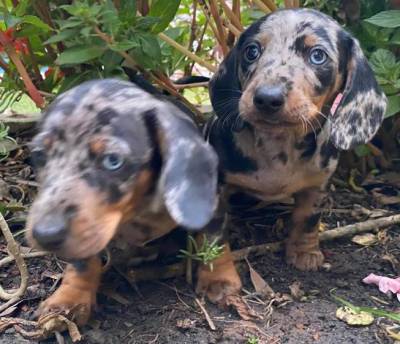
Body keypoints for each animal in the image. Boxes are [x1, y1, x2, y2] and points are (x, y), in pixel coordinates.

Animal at [26, 79, 239, 326]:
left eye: (113, 160)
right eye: (39, 155)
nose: (45, 235)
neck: (135, 209)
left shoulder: (214, 205)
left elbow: (214, 240)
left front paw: (219, 279)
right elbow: (82, 262)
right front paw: (70, 297)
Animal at [205, 9, 386, 296]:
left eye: (317, 55)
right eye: (251, 51)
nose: (267, 98)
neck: (279, 145)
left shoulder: (317, 186)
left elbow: (307, 219)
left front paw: (304, 252)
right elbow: (214, 238)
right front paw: (218, 280)